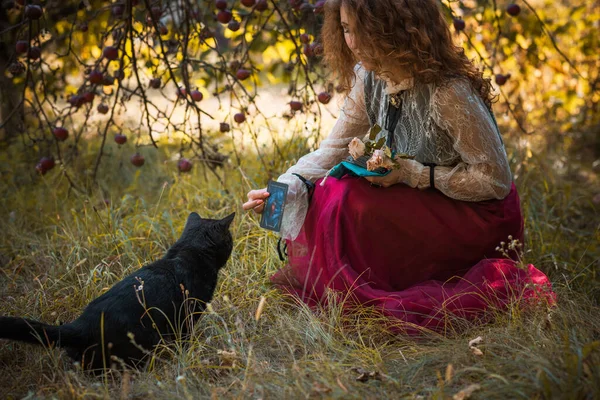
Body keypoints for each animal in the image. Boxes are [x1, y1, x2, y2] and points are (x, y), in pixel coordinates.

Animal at [0, 211, 234, 370]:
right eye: (230, 239)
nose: (233, 244)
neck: (189, 250)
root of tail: (80, 325)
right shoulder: (186, 315)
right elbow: (185, 339)